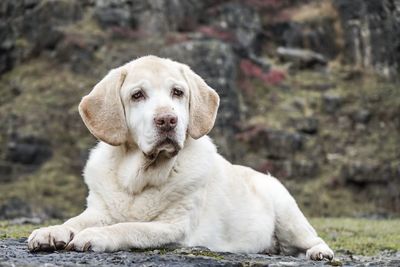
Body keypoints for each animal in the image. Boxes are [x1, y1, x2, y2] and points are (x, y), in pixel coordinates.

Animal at [27, 55, 334, 260]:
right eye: (137, 95)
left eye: (178, 92)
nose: (167, 120)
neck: (139, 178)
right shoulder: (99, 211)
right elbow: (74, 221)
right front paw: (51, 231)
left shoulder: (174, 228)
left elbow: (128, 227)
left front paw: (94, 236)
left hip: (289, 216)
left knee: (313, 238)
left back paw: (320, 253)